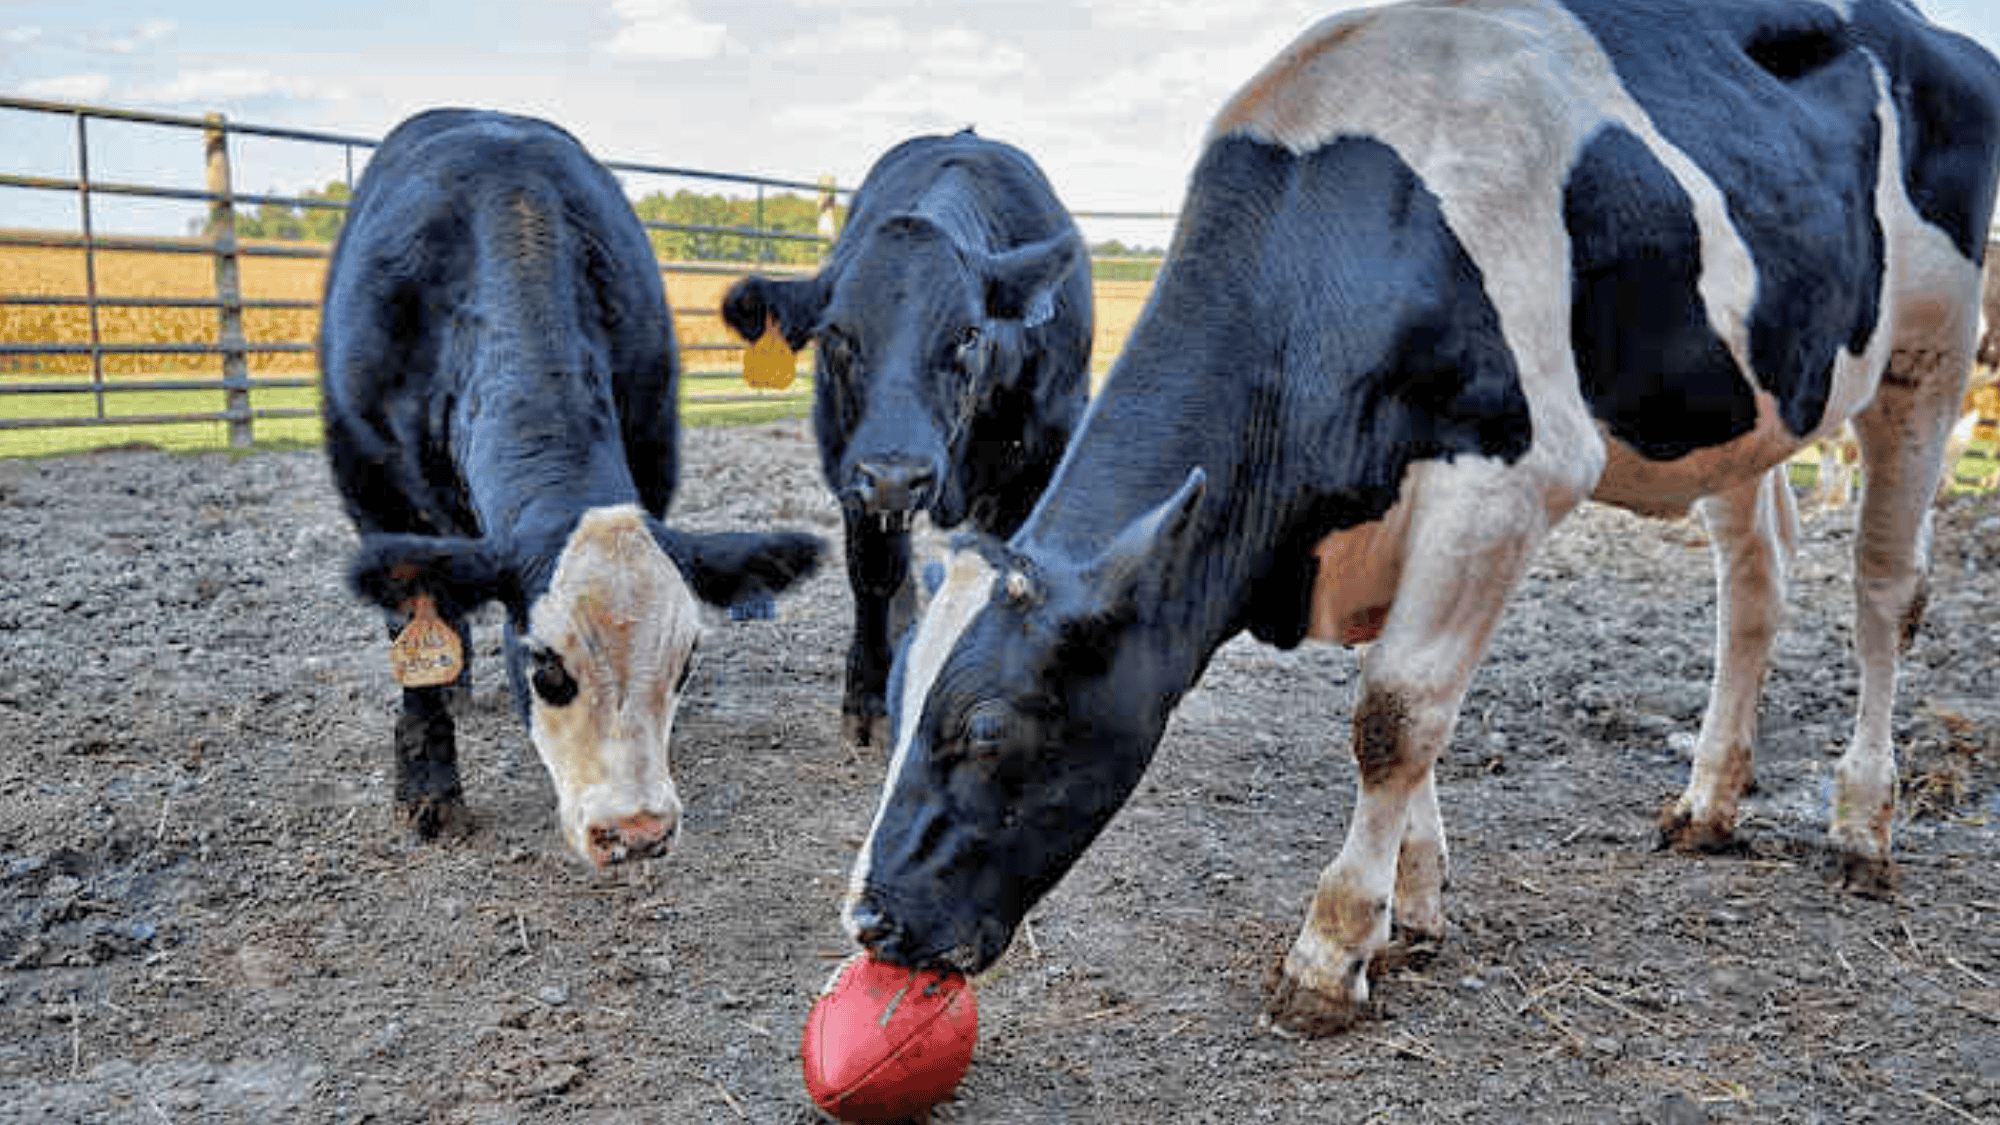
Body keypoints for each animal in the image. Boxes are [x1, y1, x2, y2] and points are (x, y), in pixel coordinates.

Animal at [320, 108, 823, 868]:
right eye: (545, 668)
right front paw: (430, 794)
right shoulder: (373, 494)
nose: (637, 831)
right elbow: (414, 643)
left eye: (686, 660)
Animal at [719, 130, 1092, 752]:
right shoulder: (851, 467)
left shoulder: (1035, 468)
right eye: (837, 334)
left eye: (969, 333)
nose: (898, 475)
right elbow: (874, 573)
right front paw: (868, 696)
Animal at [840, 0, 2000, 1037]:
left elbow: (1395, 714)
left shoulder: (1504, 480)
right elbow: (1395, 698)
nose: (871, 922)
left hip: (1931, 351)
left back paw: (1861, 826)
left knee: (1884, 587)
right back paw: (1708, 802)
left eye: (989, 729)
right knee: (1753, 581)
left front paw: (1330, 950)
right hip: (1745, 405)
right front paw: (1415, 905)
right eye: (898, 706)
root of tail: (1927, 32)